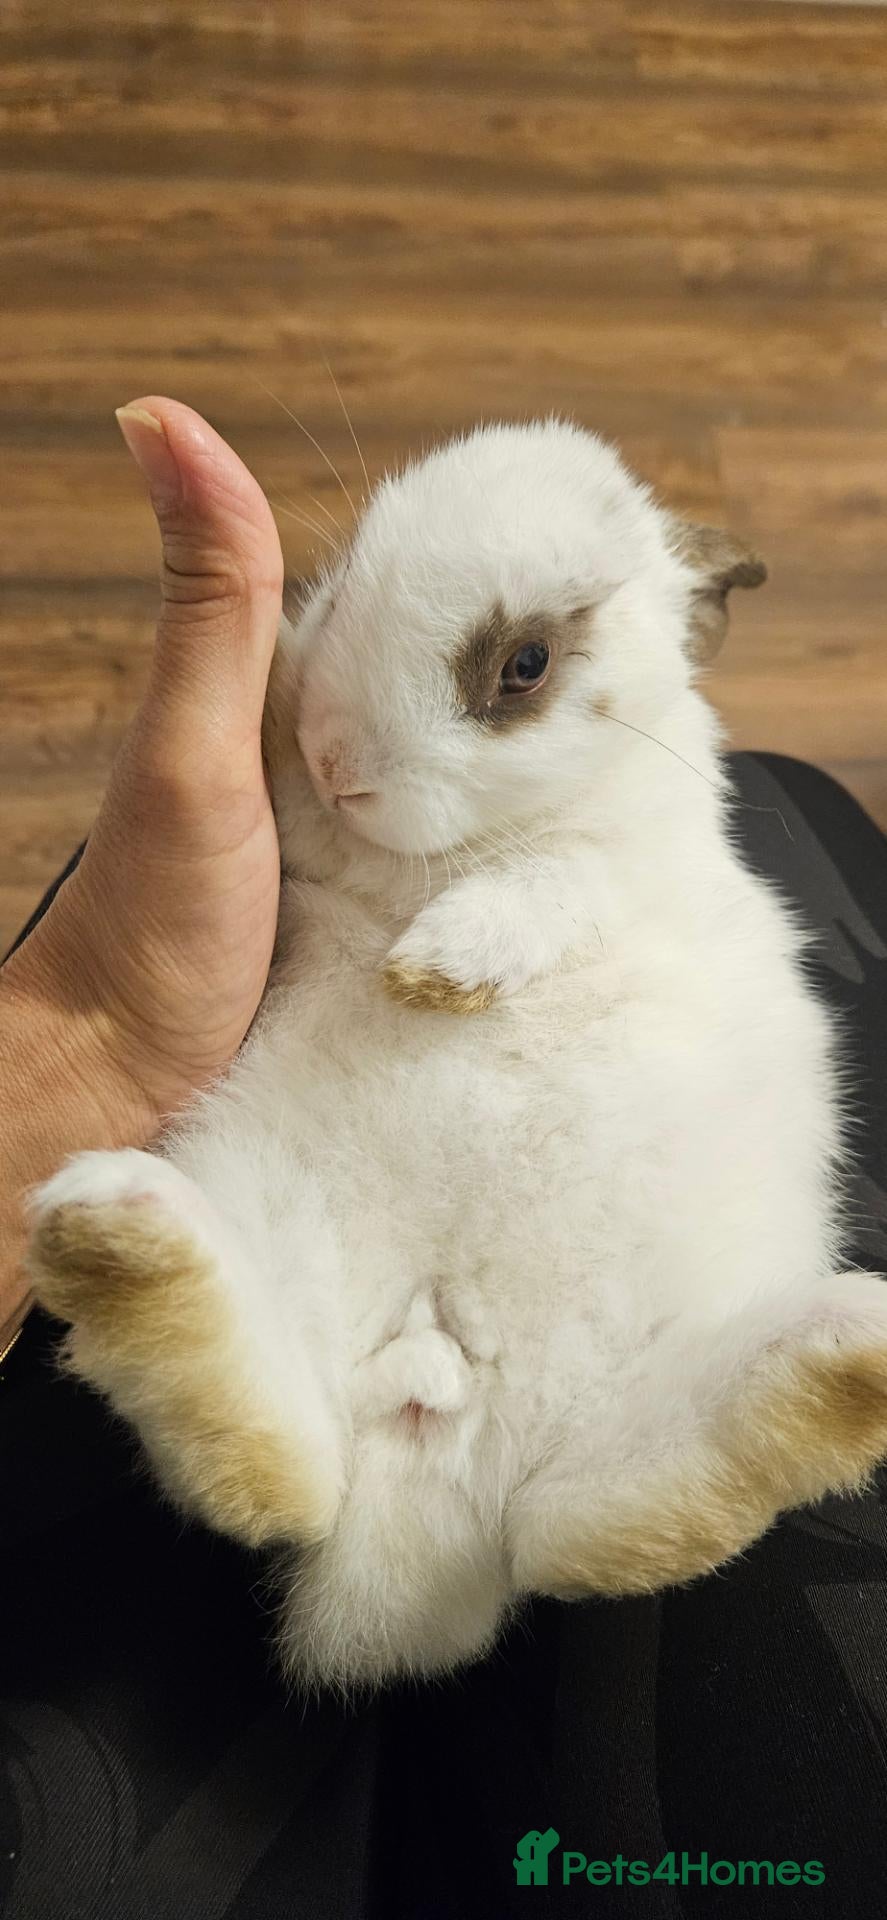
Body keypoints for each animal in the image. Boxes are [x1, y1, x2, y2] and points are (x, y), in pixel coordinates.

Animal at [27, 418, 887, 1692]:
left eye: (523, 665)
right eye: (338, 586)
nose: (334, 759)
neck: (428, 854)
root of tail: (426, 1488)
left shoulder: (618, 865)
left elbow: (545, 888)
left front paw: (433, 974)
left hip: (636, 1377)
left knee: (599, 1520)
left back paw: (844, 1356)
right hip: (281, 1255)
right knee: (288, 1461)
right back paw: (123, 1237)